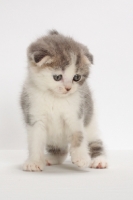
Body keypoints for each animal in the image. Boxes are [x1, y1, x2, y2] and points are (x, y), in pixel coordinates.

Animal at [20, 30, 107, 171]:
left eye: (76, 77)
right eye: (57, 77)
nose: (68, 88)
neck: (55, 98)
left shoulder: (76, 115)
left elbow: (79, 135)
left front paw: (81, 158)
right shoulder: (34, 117)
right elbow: (35, 142)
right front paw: (34, 162)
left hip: (91, 123)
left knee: (95, 142)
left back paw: (99, 160)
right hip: (53, 139)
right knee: (61, 150)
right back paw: (51, 158)